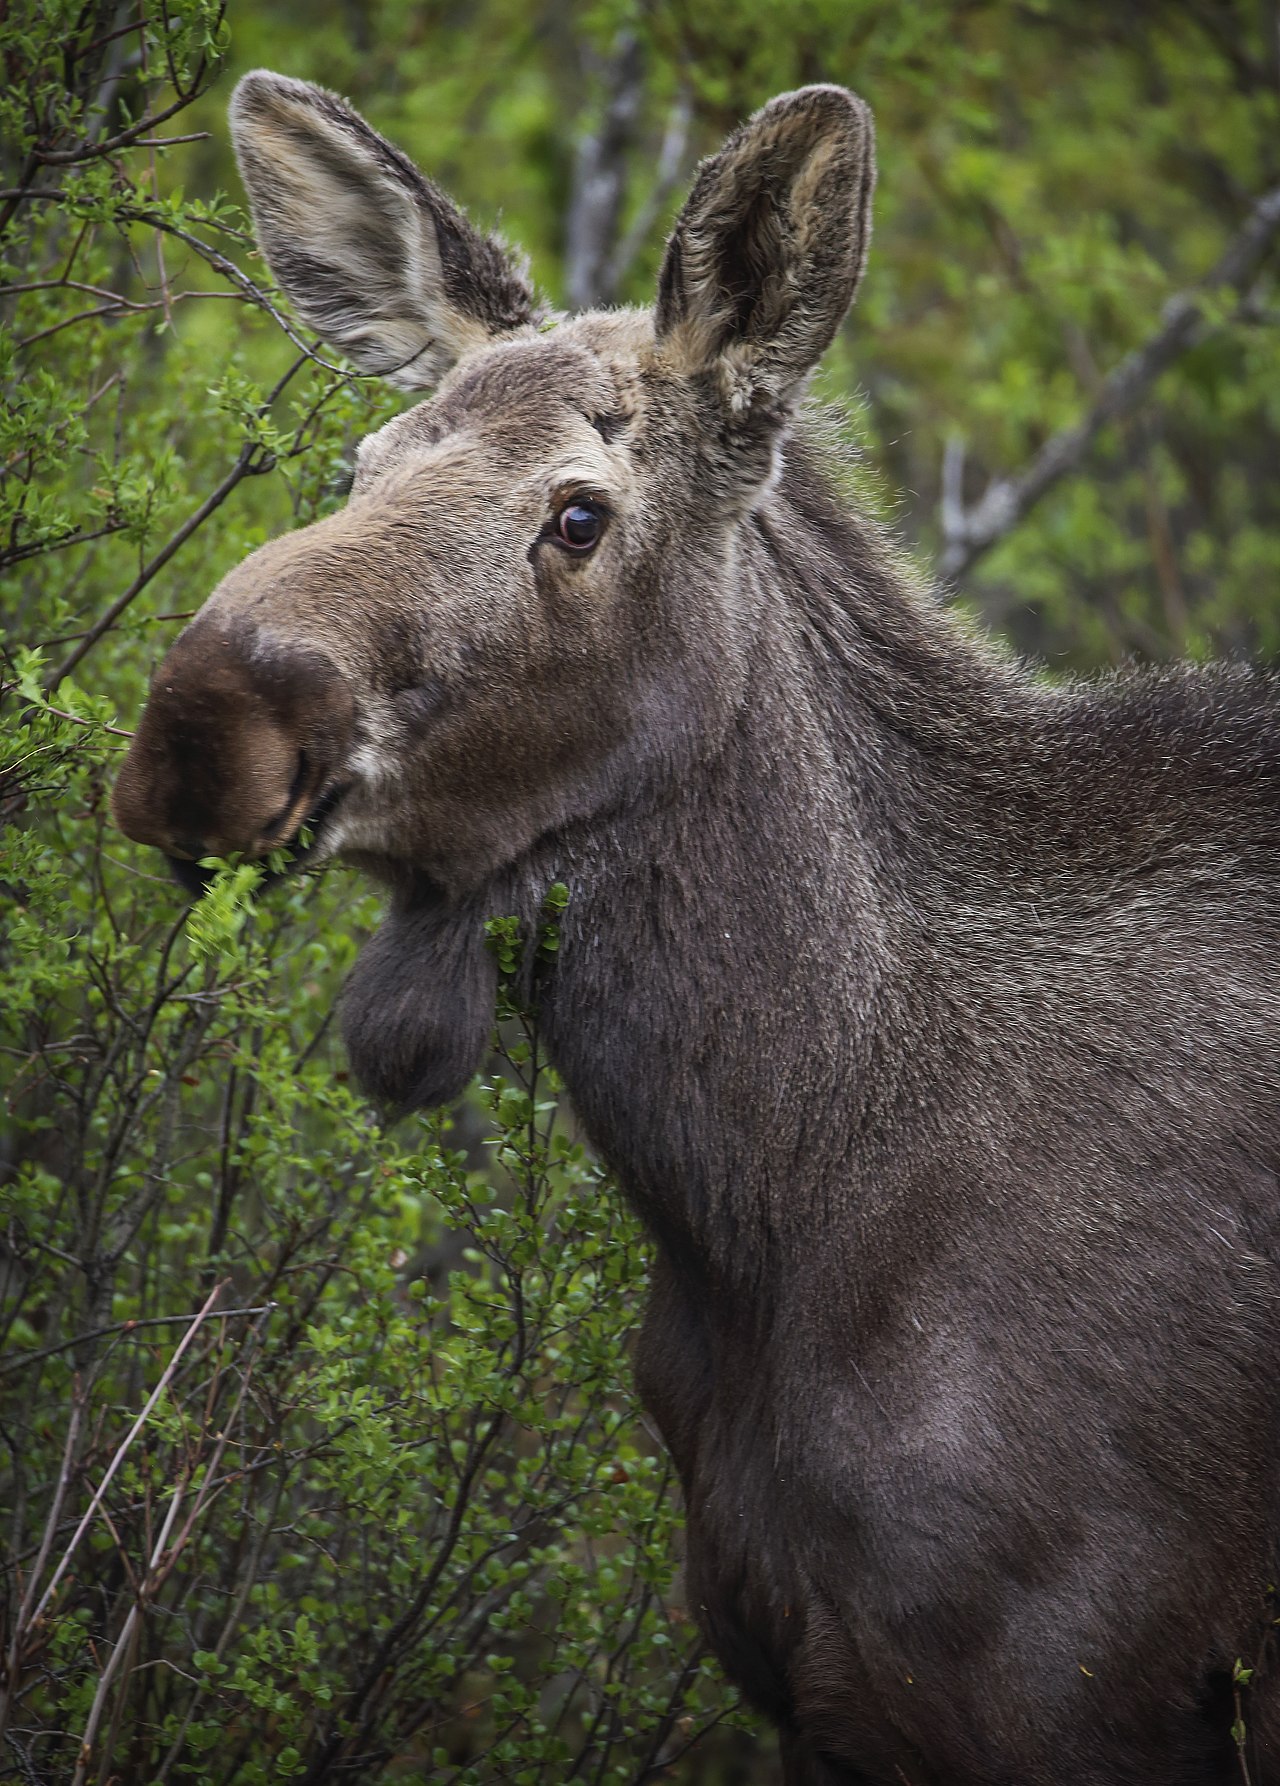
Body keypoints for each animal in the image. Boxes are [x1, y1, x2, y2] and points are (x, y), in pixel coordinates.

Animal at [111, 70, 1280, 1785]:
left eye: (577, 515)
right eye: (361, 462)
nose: (200, 724)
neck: (773, 1188)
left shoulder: (1048, 1693)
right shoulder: (808, 1685)